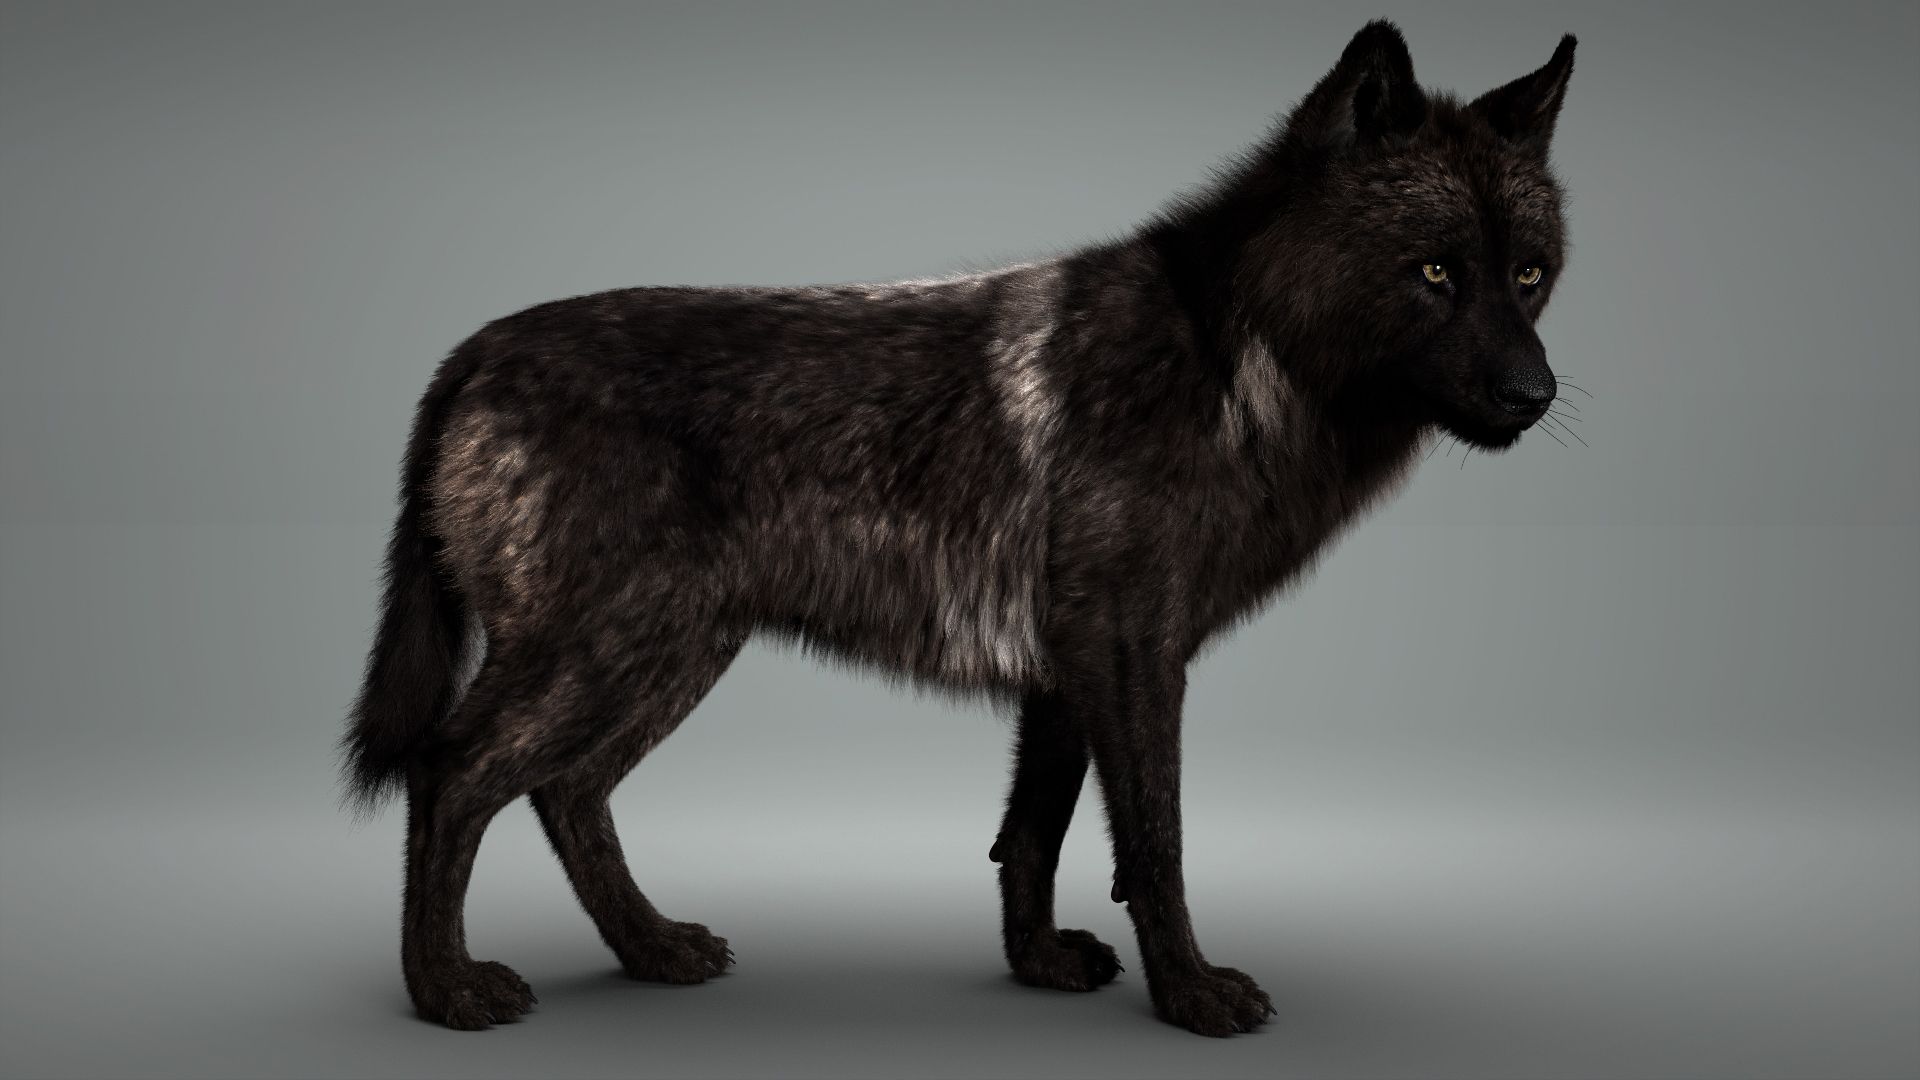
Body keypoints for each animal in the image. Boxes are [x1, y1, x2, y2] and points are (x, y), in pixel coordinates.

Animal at [343, 20, 1578, 1036]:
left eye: (1529, 274)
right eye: (1435, 272)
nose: (1537, 395)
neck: (1234, 361)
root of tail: (474, 351)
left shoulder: (1070, 670)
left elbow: (1033, 834)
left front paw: (1038, 966)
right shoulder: (1130, 653)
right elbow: (1157, 842)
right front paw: (1192, 997)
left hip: (670, 656)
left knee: (566, 791)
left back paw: (651, 950)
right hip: (608, 654)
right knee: (453, 775)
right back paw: (445, 992)